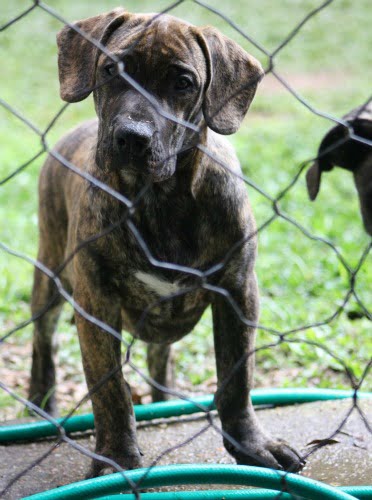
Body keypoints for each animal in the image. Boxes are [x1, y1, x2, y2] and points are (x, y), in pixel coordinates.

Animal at [29, 7, 302, 476]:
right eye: (110, 70)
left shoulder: (238, 292)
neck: (161, 197)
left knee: (160, 352)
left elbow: (237, 379)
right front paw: (116, 458)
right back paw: (40, 403)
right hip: (50, 275)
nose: (131, 137)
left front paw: (252, 444)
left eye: (183, 83)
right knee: (43, 342)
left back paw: (164, 401)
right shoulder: (96, 301)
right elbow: (111, 389)